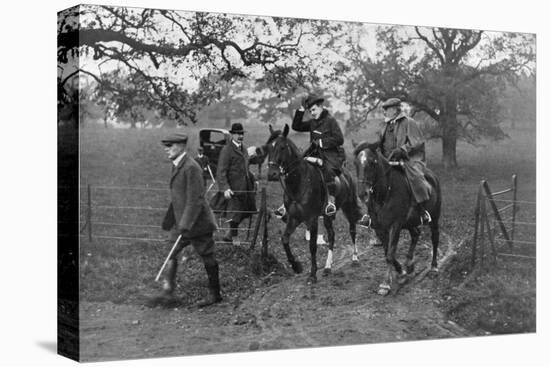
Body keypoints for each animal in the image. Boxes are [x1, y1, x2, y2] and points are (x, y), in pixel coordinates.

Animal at [266, 124, 364, 284]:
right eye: (268, 147)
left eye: (282, 147)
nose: (272, 174)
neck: (299, 183)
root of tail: (347, 174)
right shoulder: (294, 218)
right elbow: (285, 239)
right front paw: (296, 266)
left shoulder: (311, 219)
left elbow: (312, 246)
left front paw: (312, 274)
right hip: (327, 216)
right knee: (331, 235)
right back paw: (328, 267)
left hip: (347, 207)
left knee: (352, 230)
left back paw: (355, 258)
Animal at [354, 144, 444, 296]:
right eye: (356, 164)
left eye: (372, 163)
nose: (362, 193)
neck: (385, 194)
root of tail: (432, 176)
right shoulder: (380, 228)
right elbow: (387, 253)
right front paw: (401, 271)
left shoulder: (395, 226)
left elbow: (390, 254)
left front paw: (385, 284)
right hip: (409, 222)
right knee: (415, 234)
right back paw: (409, 263)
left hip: (434, 218)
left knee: (435, 238)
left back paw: (433, 267)